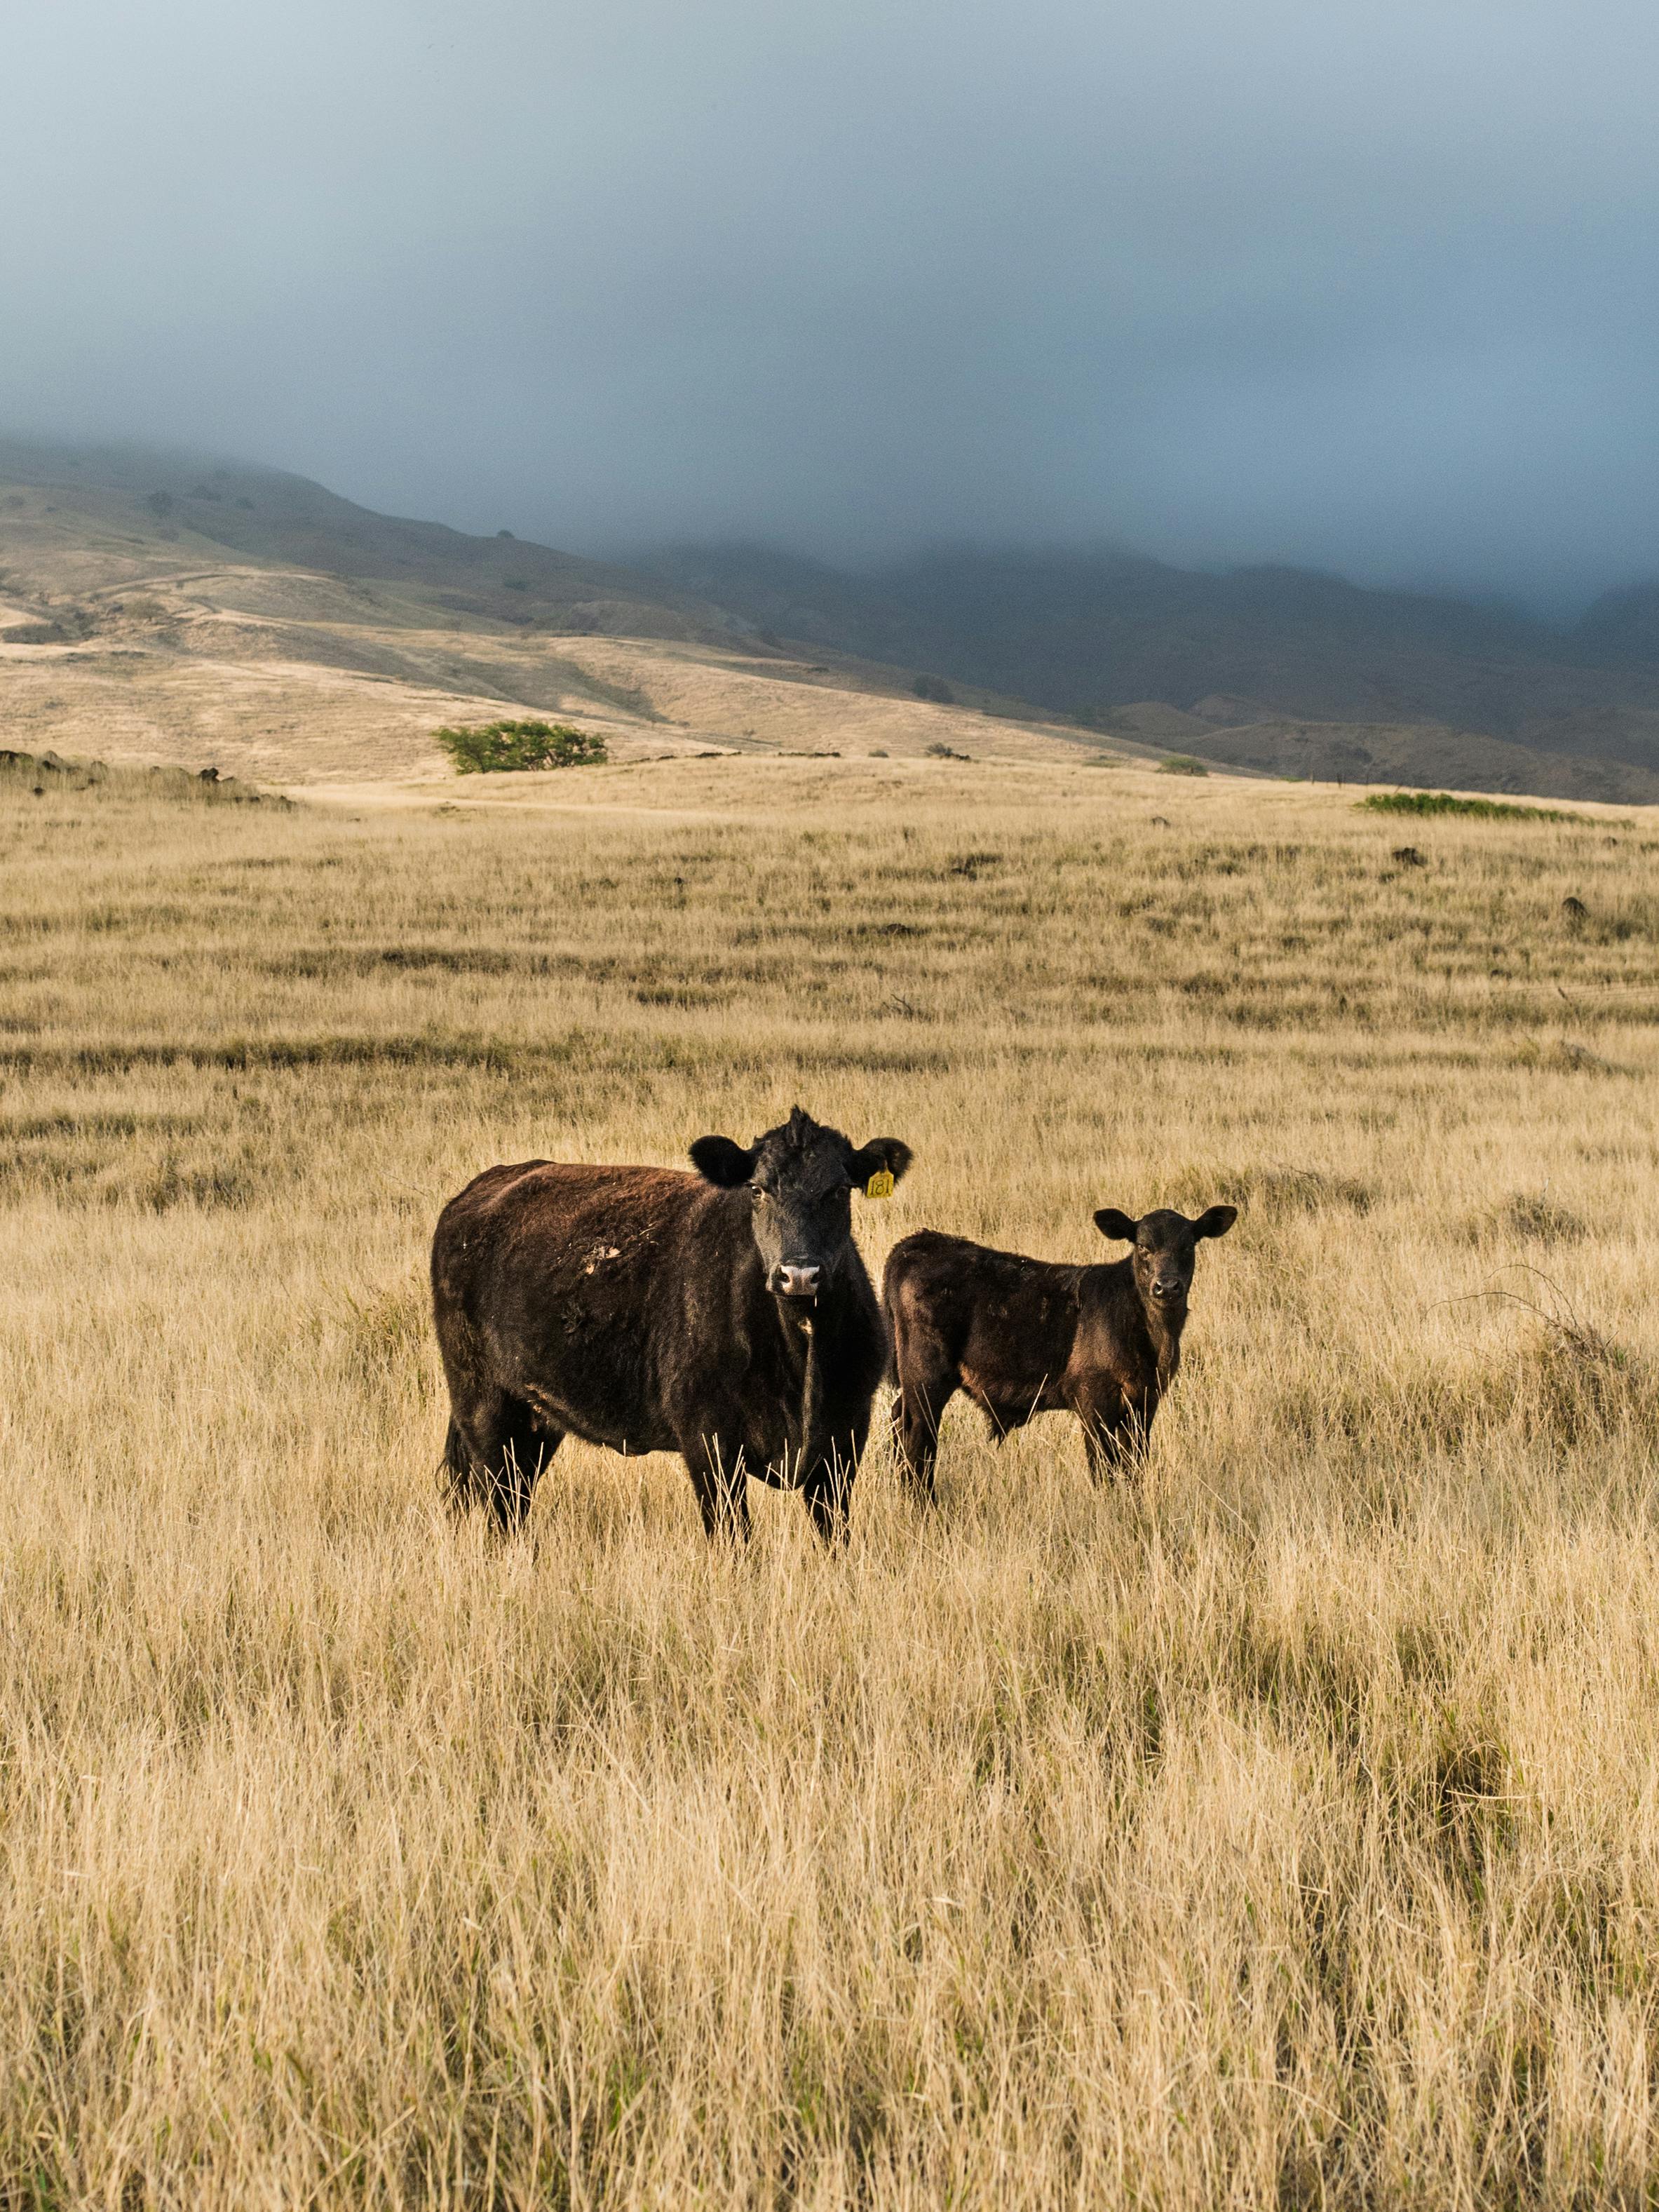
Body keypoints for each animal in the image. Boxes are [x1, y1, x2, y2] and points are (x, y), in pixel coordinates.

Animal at [429, 1106, 916, 1539]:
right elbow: (734, 1537)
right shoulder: (708, 1443)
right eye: (757, 1190)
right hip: (484, 1403)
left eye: (840, 1190)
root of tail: (482, 1188)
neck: (800, 1358)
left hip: (536, 1416)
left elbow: (834, 1534)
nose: (798, 1274)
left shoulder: (843, 1439)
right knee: (498, 1500)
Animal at [889, 1203, 1238, 1495]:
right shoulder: (1093, 1400)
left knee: (898, 1422)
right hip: (925, 1377)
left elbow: (1134, 1465)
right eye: (1142, 1246)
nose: (1166, 1287)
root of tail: (918, 1243)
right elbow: (1103, 1467)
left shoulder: (1144, 1402)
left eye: (1188, 1245)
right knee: (918, 1440)